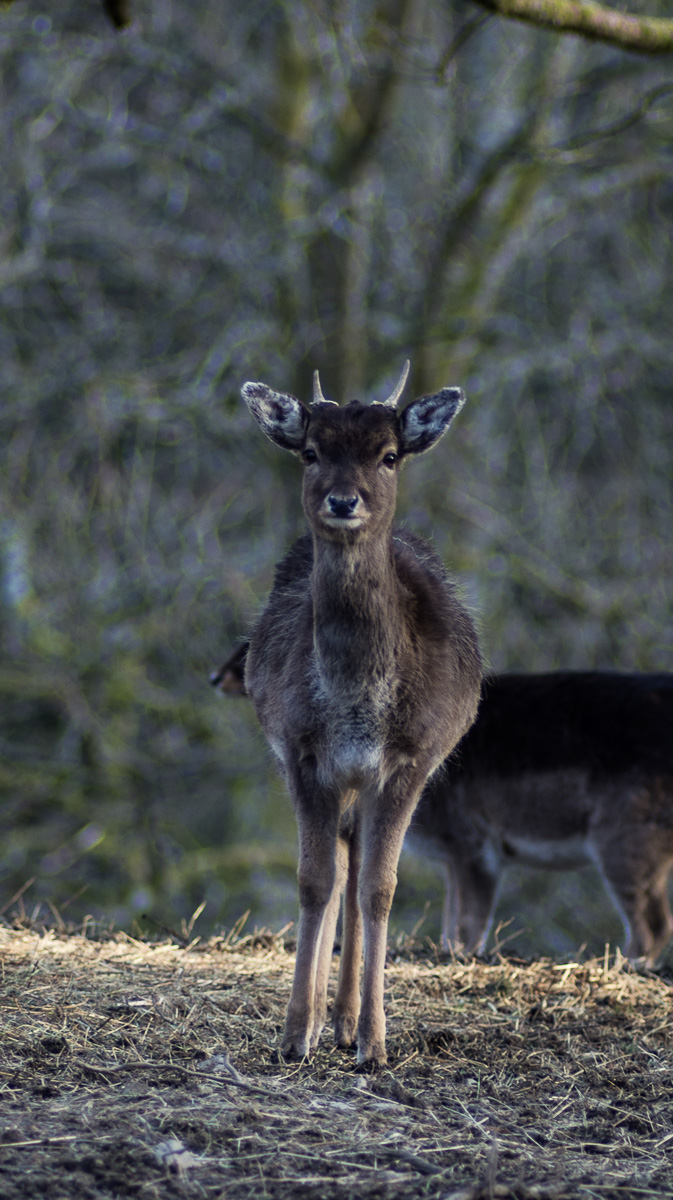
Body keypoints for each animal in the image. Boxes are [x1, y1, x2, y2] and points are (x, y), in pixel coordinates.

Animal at [238, 360, 479, 1065]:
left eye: (389, 455)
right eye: (311, 451)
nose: (344, 501)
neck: (354, 704)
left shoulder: (410, 760)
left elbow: (380, 887)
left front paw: (373, 1041)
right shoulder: (301, 752)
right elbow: (315, 880)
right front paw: (295, 1033)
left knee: (359, 869)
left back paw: (347, 1021)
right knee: (341, 863)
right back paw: (328, 1017)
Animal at [407, 676, 671, 964]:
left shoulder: (472, 844)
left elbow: (468, 926)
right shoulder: (454, 857)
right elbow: (450, 924)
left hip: (626, 843)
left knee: (653, 927)